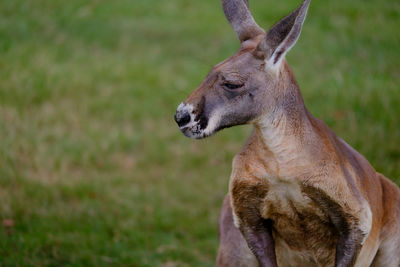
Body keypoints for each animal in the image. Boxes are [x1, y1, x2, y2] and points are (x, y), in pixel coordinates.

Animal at [173, 0, 400, 266]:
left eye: (231, 84)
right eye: (208, 73)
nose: (180, 117)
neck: (280, 160)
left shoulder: (356, 215)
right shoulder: (246, 213)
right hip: (232, 243)